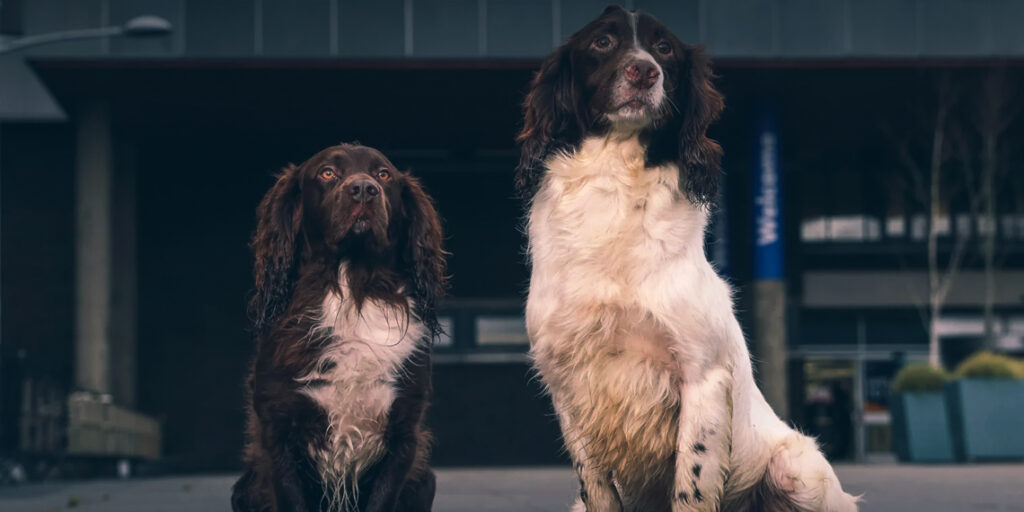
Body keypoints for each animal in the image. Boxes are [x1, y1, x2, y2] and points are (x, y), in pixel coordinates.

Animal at [232, 142, 444, 509]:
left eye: (383, 174)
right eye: (328, 173)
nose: (364, 189)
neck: (351, 291)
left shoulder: (403, 435)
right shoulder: (278, 433)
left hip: (423, 480)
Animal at [516, 4, 860, 512]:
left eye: (664, 49)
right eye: (602, 42)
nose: (644, 72)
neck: (618, 182)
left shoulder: (702, 375)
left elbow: (692, 484)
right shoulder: (568, 385)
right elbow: (596, 486)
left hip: (799, 471)